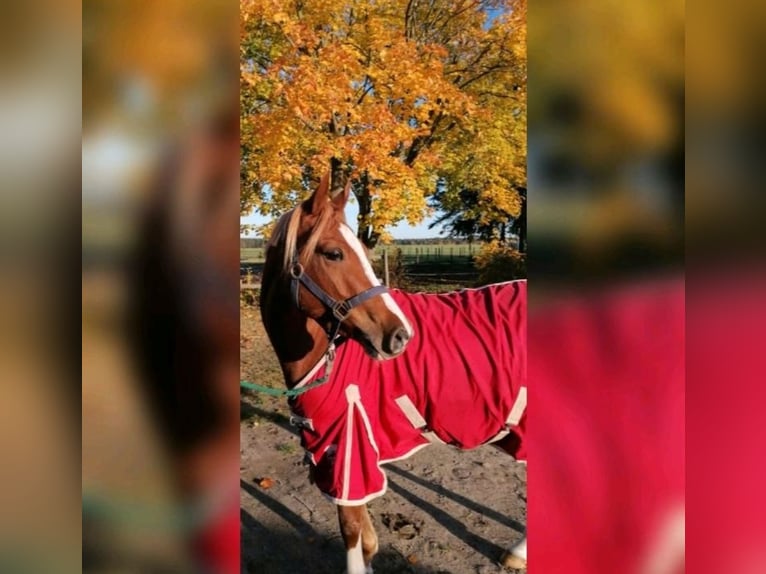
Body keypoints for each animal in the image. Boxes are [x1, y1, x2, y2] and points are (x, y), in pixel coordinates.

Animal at [260, 173, 532, 572]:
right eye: (333, 253)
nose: (400, 335)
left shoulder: (349, 450)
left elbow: (352, 531)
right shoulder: (337, 450)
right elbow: (367, 537)